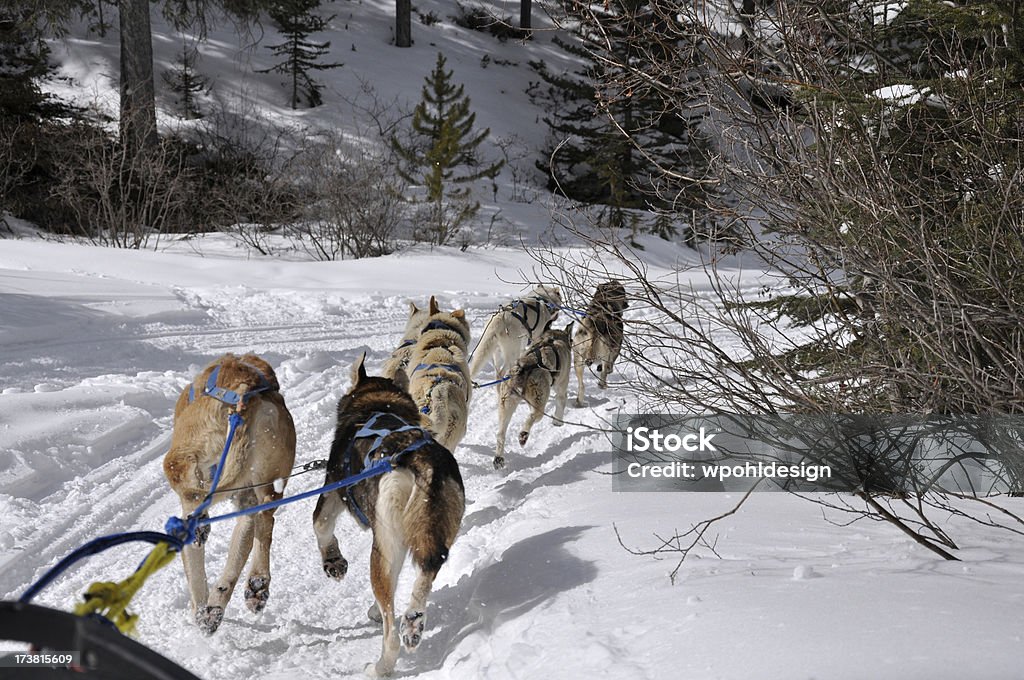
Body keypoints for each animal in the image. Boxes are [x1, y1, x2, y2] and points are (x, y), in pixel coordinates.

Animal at [161, 352, 294, 634]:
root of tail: (245, 393)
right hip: (265, 485)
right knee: (264, 518)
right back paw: (252, 586)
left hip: (180, 456)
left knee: (193, 498)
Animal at [309, 352, 466, 675]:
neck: (378, 403)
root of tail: (420, 462)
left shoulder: (332, 491)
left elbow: (320, 525)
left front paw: (334, 563)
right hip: (431, 536)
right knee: (425, 574)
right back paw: (414, 622)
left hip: (383, 549)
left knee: (390, 629)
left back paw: (381, 666)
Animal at [491, 321, 573, 471]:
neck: (553, 338)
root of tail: (523, 368)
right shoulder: (562, 386)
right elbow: (561, 403)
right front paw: (558, 422)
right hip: (539, 402)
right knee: (532, 417)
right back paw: (523, 436)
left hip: (506, 405)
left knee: (501, 433)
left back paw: (498, 459)